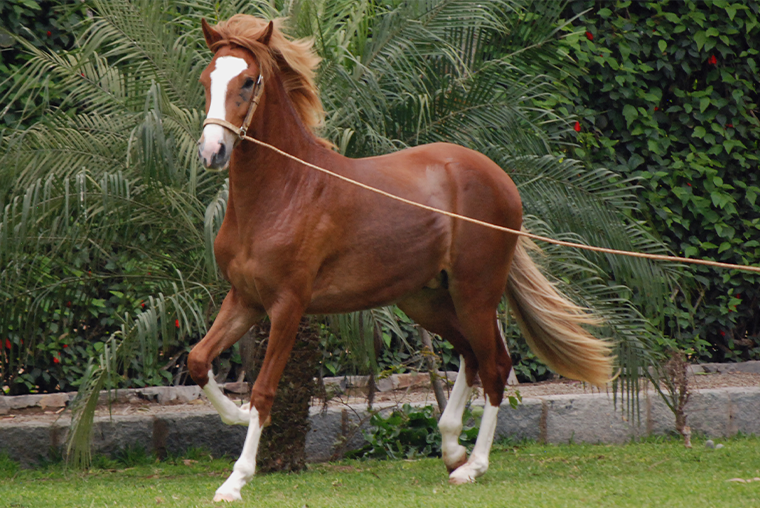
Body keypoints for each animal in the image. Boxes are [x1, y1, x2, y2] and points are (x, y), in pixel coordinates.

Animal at [189, 13, 612, 502]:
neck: (285, 192)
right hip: (426, 300)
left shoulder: (288, 306)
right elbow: (198, 360)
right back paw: (451, 448)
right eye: (206, 79)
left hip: (475, 293)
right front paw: (234, 415)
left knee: (495, 366)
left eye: (248, 81)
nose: (212, 152)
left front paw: (235, 479)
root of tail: (500, 178)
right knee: (470, 356)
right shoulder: (245, 299)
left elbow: (262, 390)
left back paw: (473, 466)